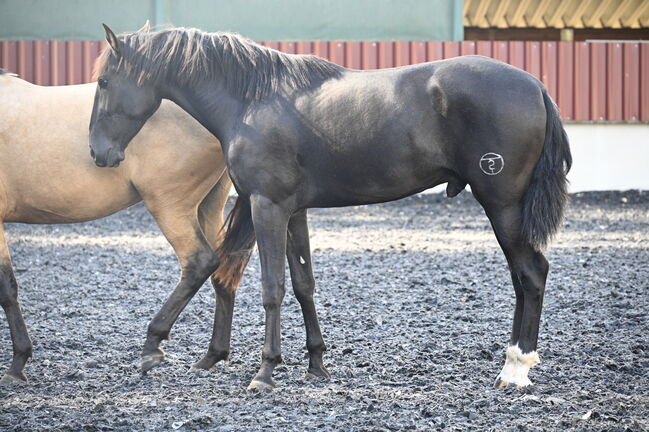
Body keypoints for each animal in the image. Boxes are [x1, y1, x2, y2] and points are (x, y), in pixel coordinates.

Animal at [88, 26, 568, 392]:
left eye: (105, 82)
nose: (98, 153)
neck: (252, 100)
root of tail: (537, 86)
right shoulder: (293, 211)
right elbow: (303, 284)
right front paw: (316, 364)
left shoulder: (267, 207)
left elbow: (272, 287)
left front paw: (265, 371)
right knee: (522, 278)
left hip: (503, 206)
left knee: (530, 273)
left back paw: (516, 368)